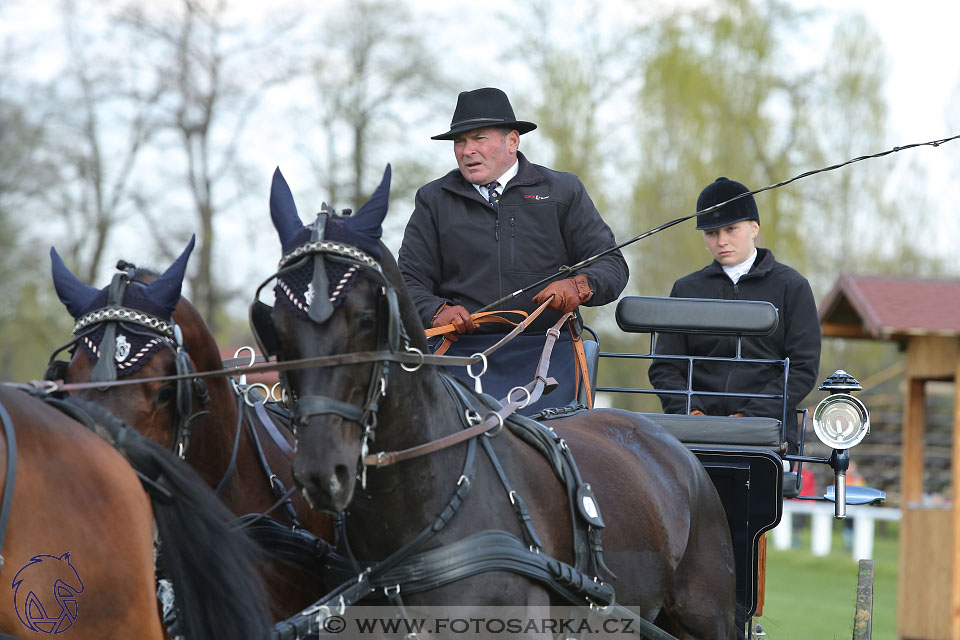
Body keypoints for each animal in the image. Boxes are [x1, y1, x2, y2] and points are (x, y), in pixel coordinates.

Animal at [255, 166, 736, 640]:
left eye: (367, 318)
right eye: (275, 323)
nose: (321, 470)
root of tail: (667, 441)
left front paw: (566, 288)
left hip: (706, 617)